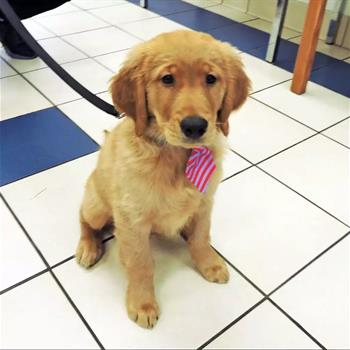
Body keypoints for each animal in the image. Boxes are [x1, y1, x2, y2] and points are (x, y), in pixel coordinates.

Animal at [75, 29, 250, 328]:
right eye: (167, 79)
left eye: (211, 79)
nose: (195, 126)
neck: (176, 155)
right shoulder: (133, 220)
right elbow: (141, 263)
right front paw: (143, 304)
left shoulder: (205, 202)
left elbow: (201, 237)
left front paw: (210, 263)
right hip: (96, 205)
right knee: (84, 218)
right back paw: (88, 247)